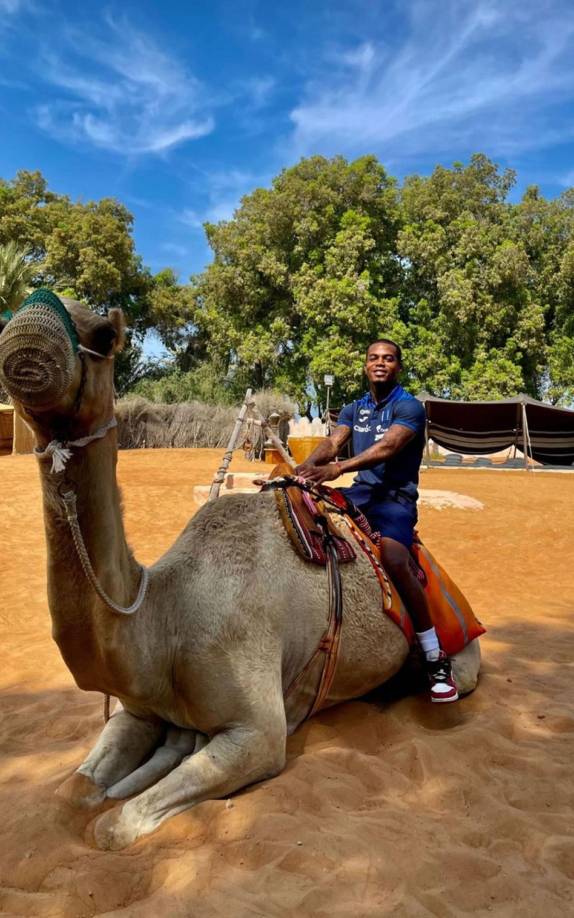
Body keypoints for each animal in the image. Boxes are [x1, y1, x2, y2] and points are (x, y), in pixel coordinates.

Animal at [0, 293, 481, 850]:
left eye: (104, 336)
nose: (27, 339)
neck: (165, 618)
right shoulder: (137, 709)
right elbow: (72, 793)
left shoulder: (257, 732)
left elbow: (112, 827)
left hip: (458, 645)